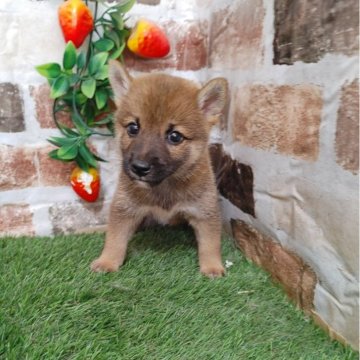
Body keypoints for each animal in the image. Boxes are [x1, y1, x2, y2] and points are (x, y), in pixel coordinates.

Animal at [90, 60, 226, 278]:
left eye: (175, 136)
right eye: (133, 128)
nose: (139, 168)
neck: (164, 185)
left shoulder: (204, 211)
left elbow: (210, 244)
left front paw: (212, 266)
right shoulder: (125, 209)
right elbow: (115, 240)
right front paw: (107, 261)